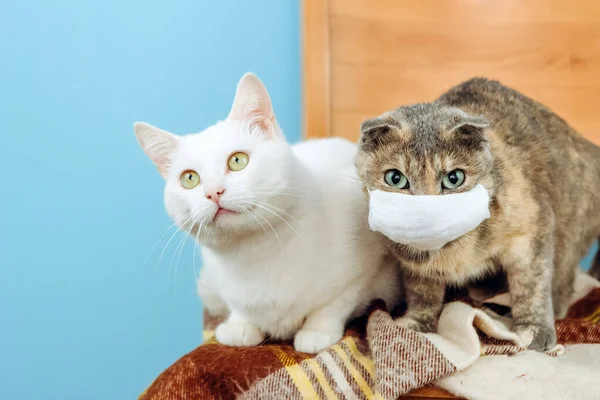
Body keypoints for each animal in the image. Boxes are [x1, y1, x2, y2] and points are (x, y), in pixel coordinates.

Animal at [134, 72, 400, 354]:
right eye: (189, 179)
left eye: (237, 160)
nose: (214, 192)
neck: (256, 252)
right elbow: (238, 307)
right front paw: (240, 326)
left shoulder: (367, 268)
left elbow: (335, 303)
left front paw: (317, 331)